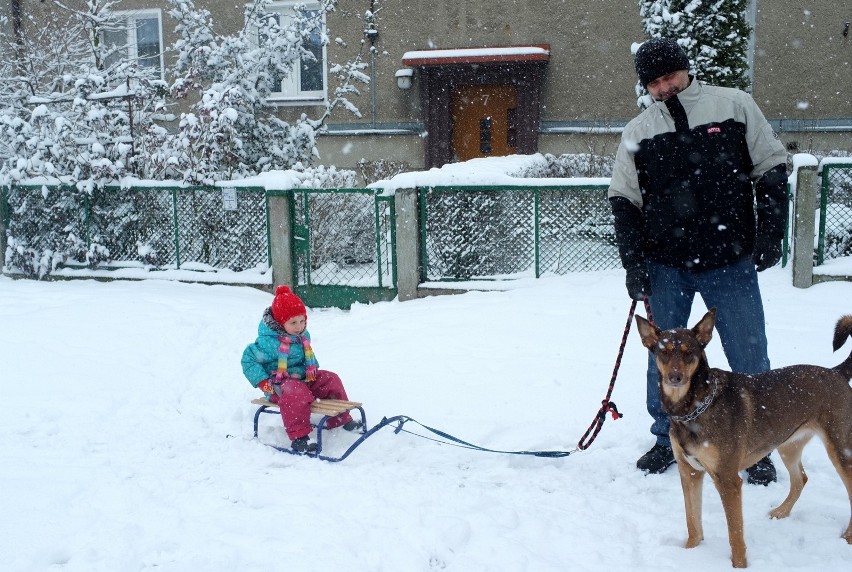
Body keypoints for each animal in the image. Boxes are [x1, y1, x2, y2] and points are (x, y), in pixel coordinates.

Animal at [636, 310, 852, 568]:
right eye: (664, 352)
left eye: (690, 353)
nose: (675, 377)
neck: (693, 408)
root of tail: (836, 372)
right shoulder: (689, 473)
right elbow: (693, 523)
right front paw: (689, 554)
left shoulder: (728, 480)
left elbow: (735, 534)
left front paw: (739, 566)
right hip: (788, 445)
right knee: (800, 479)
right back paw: (781, 512)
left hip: (840, 450)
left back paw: (848, 536)